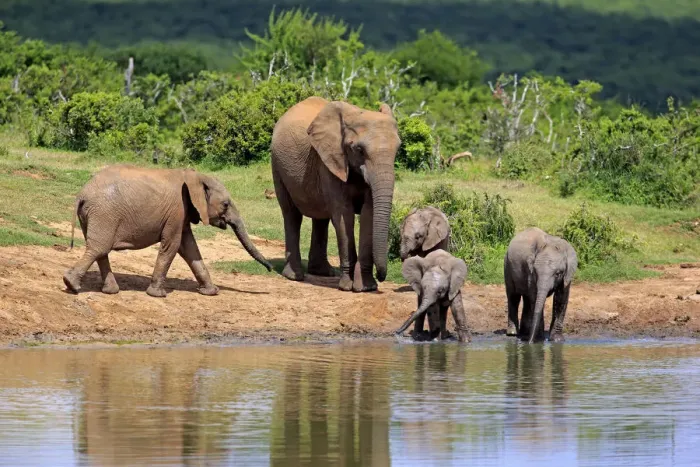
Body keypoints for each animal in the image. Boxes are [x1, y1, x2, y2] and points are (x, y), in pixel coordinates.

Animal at [63, 165, 272, 297]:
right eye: (226, 204)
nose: (271, 269)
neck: (195, 176)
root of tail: (81, 193)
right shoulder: (177, 210)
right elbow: (172, 246)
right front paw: (158, 295)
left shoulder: (184, 213)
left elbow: (190, 249)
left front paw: (211, 292)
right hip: (104, 213)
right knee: (99, 248)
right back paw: (71, 285)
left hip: (92, 215)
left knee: (100, 249)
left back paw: (109, 291)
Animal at [270, 96, 401, 292]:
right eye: (359, 150)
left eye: (398, 149)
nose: (382, 276)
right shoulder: (330, 162)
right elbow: (344, 215)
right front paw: (347, 287)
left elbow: (368, 214)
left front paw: (366, 288)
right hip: (277, 165)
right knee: (291, 214)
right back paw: (294, 276)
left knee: (321, 218)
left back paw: (323, 273)